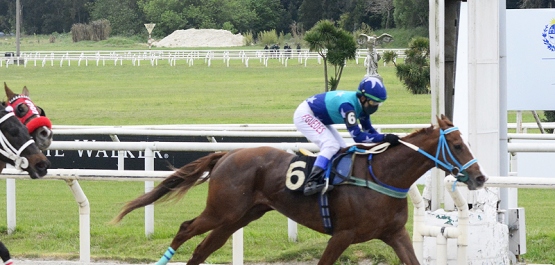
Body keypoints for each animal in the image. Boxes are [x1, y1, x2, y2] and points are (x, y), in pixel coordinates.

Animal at [113, 115, 486, 264]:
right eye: (456, 144)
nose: (480, 178)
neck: (380, 176)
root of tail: (227, 154)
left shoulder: (395, 234)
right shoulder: (342, 235)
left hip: (238, 217)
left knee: (204, 248)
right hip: (222, 210)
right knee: (185, 228)